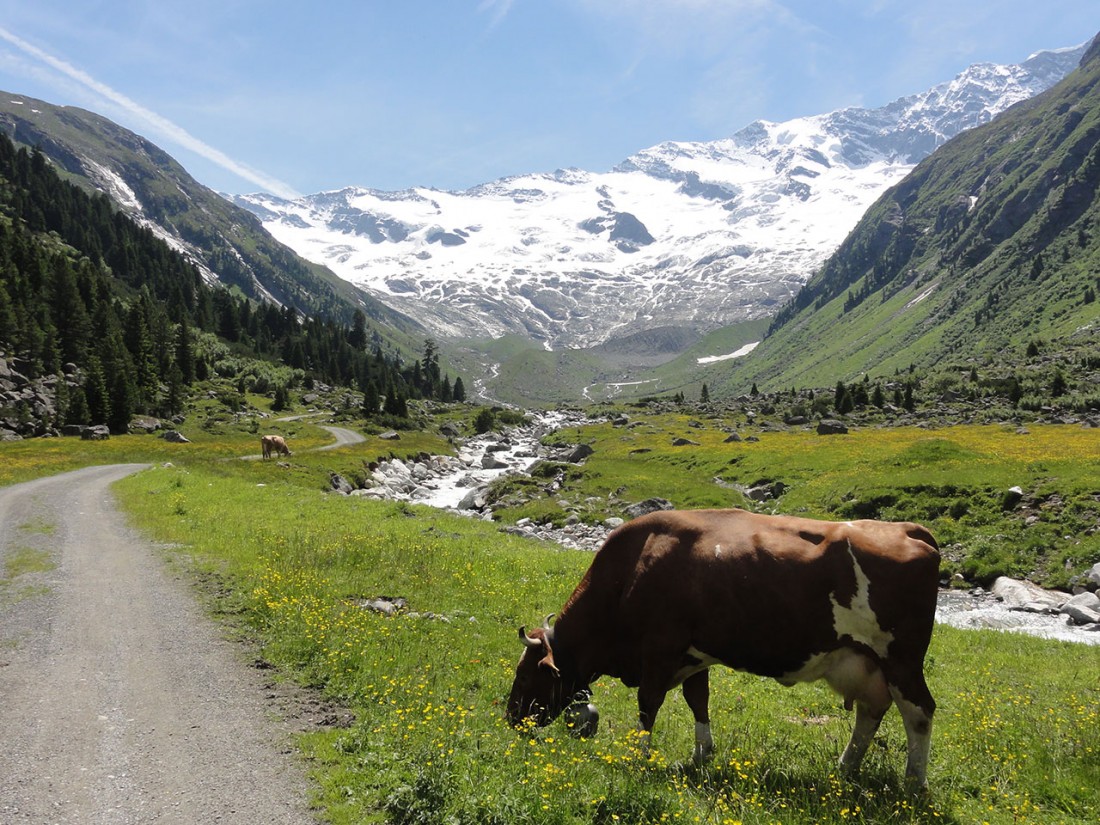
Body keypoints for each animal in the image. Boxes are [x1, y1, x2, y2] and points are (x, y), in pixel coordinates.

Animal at [506, 508, 937, 792]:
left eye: (524, 675)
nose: (511, 718)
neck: (632, 570)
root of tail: (910, 530)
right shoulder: (695, 656)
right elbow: (698, 699)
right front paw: (700, 754)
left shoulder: (659, 650)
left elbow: (648, 705)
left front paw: (637, 755)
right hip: (868, 663)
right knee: (871, 712)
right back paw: (845, 768)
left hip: (901, 660)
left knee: (919, 712)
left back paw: (912, 783)